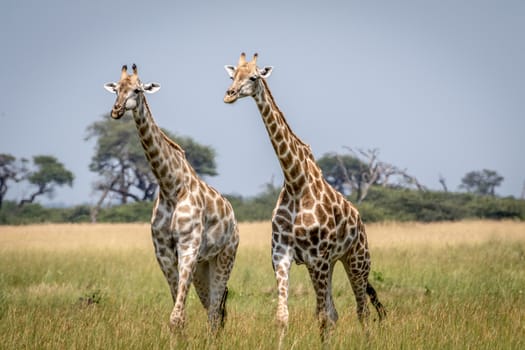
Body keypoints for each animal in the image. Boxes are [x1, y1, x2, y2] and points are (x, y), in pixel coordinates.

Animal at [104, 63, 239, 334]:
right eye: (116, 88)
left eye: (137, 89)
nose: (116, 110)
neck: (170, 187)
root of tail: (233, 217)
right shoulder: (164, 251)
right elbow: (179, 315)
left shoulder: (188, 246)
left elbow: (176, 316)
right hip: (203, 265)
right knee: (213, 308)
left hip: (225, 256)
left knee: (215, 309)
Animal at [222, 53, 384, 344]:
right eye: (232, 76)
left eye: (254, 76)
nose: (229, 95)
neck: (296, 182)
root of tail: (360, 220)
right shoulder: (282, 255)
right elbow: (283, 316)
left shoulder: (318, 257)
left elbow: (322, 316)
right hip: (329, 264)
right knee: (335, 312)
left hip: (356, 260)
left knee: (361, 310)